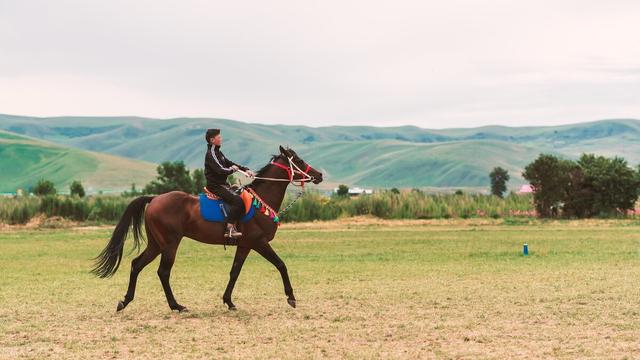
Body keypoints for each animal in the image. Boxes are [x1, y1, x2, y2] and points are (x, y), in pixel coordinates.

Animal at [90, 145, 322, 310]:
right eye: (298, 160)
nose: (319, 175)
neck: (261, 202)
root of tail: (155, 198)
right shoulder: (259, 242)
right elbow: (281, 265)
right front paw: (291, 297)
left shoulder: (245, 245)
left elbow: (234, 272)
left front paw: (228, 301)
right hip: (170, 244)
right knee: (163, 272)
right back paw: (176, 306)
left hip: (156, 244)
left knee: (137, 264)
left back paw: (125, 301)